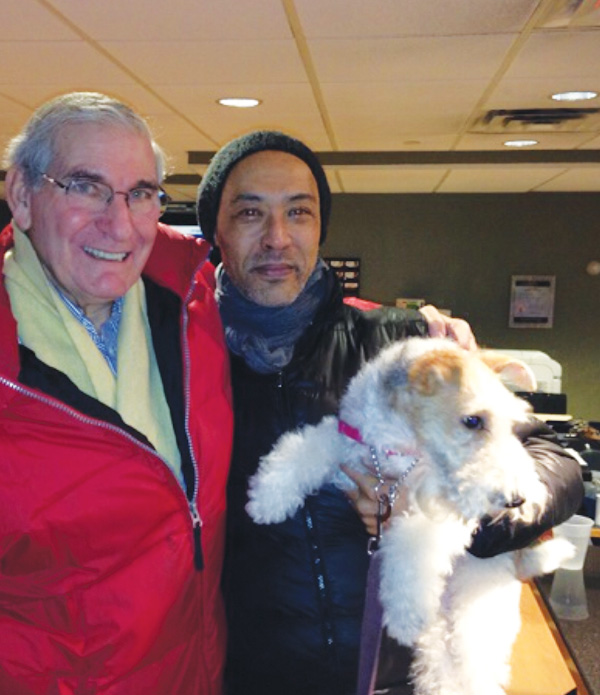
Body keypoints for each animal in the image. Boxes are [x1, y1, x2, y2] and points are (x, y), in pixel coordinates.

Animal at [246, 340, 576, 695]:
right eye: (473, 421)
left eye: (513, 426)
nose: (517, 500)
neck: (396, 445)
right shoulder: (349, 441)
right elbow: (307, 447)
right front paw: (266, 498)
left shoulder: (434, 510)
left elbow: (410, 555)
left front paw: (405, 613)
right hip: (437, 638)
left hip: (476, 621)